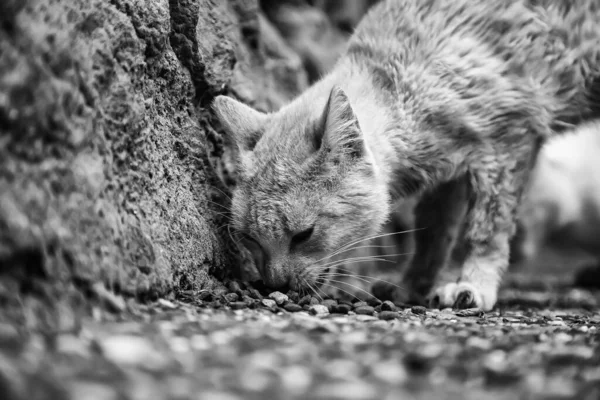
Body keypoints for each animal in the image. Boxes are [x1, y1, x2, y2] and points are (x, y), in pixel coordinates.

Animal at [213, 0, 600, 310]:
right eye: (250, 239)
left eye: (303, 235)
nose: (274, 285)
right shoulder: (453, 170)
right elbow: (433, 234)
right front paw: (414, 285)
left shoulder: (507, 144)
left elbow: (484, 230)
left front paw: (473, 284)